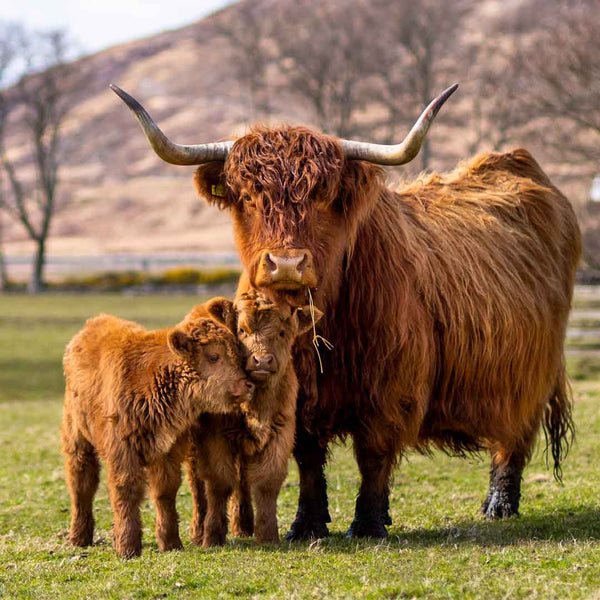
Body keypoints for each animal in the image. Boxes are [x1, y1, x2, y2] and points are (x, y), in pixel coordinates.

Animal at [62, 302, 254, 560]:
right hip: (78, 439)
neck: (153, 376)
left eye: (237, 353)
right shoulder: (123, 452)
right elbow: (127, 491)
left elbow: (165, 492)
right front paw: (127, 547)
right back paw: (78, 538)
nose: (247, 384)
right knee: (82, 484)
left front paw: (171, 542)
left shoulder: (167, 452)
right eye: (213, 356)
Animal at [188, 290, 322, 548]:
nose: (261, 360)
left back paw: (244, 525)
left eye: (282, 332)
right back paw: (198, 531)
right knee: (198, 486)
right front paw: (212, 536)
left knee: (241, 482)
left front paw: (268, 535)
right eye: (241, 330)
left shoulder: (279, 433)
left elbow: (266, 482)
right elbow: (218, 483)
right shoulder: (216, 437)